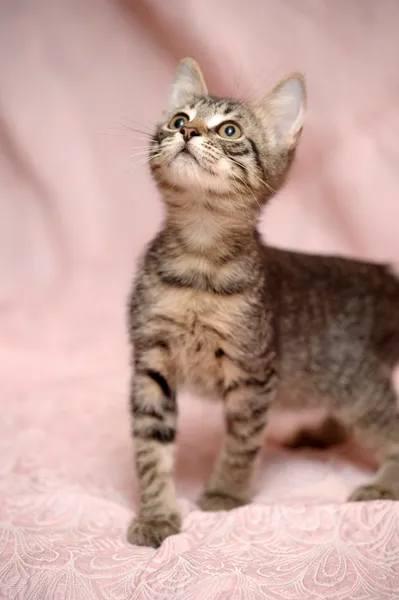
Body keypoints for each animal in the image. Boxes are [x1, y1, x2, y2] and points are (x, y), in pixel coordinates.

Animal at [126, 58, 399, 548]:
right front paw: (156, 514)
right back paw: (320, 433)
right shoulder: (150, 363)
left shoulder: (253, 371)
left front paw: (225, 492)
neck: (199, 265)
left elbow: (241, 441)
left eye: (229, 130)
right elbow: (150, 447)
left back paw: (381, 484)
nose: (188, 131)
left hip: (358, 389)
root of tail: (385, 275)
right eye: (178, 120)